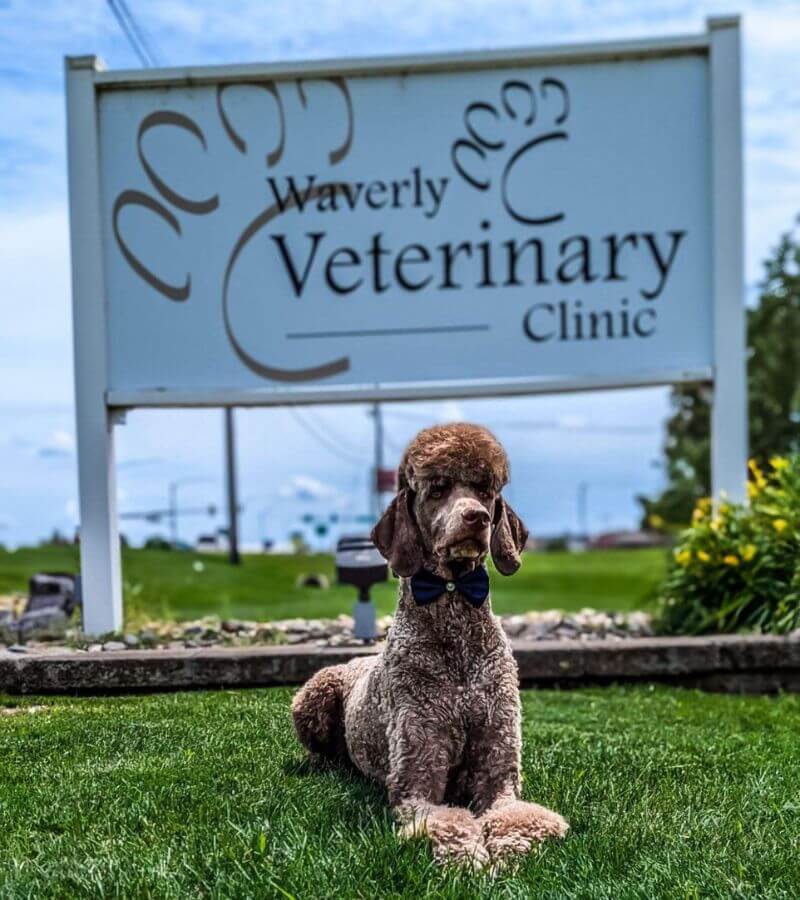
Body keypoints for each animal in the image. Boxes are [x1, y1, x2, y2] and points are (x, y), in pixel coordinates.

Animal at [290, 422, 564, 864]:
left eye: (485, 489)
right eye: (437, 488)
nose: (477, 516)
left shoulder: (499, 772)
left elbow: (514, 814)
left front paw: (510, 847)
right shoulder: (417, 783)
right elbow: (448, 822)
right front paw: (471, 858)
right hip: (313, 694)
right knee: (319, 751)